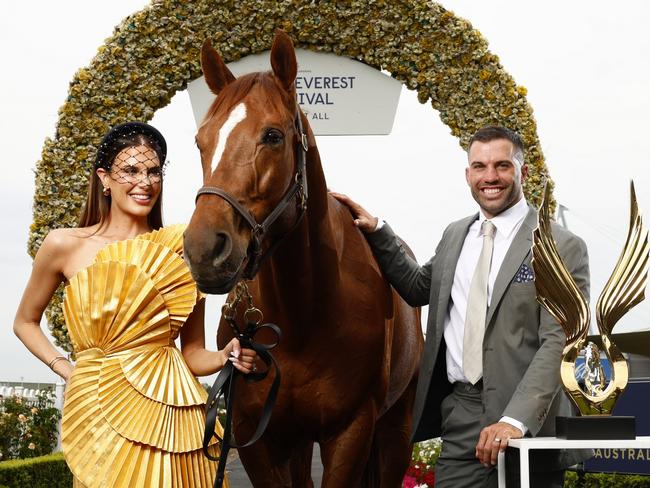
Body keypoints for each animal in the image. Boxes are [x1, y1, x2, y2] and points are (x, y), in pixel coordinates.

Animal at [185, 31, 422, 488]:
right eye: (200, 141)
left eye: (273, 136)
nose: (204, 249)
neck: (302, 317)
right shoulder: (257, 436)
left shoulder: (351, 433)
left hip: (396, 431)